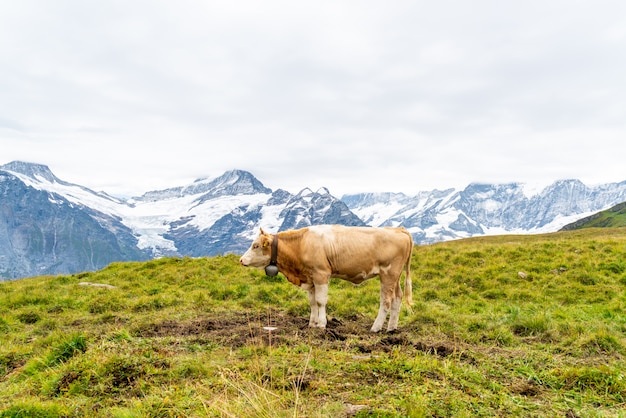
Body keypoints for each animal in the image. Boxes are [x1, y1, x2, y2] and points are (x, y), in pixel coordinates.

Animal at [238, 225, 410, 334]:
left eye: (255, 246)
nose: (241, 260)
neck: (302, 244)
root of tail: (399, 229)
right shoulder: (311, 278)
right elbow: (313, 302)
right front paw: (312, 323)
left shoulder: (321, 274)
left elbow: (320, 301)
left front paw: (321, 324)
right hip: (395, 277)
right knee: (397, 298)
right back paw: (391, 328)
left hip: (388, 274)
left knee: (386, 301)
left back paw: (376, 328)